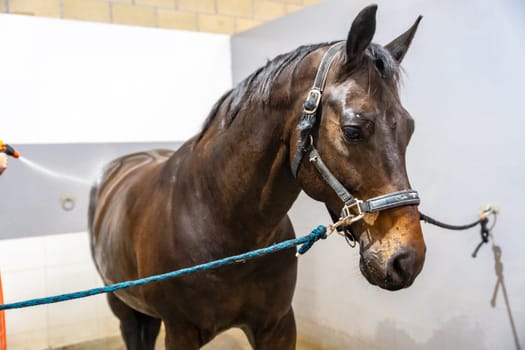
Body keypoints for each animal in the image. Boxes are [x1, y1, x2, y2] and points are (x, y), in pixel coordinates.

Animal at [89, 5, 426, 350]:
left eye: (409, 129)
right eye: (353, 130)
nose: (407, 259)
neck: (219, 224)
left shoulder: (277, 325)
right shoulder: (180, 332)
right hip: (123, 307)